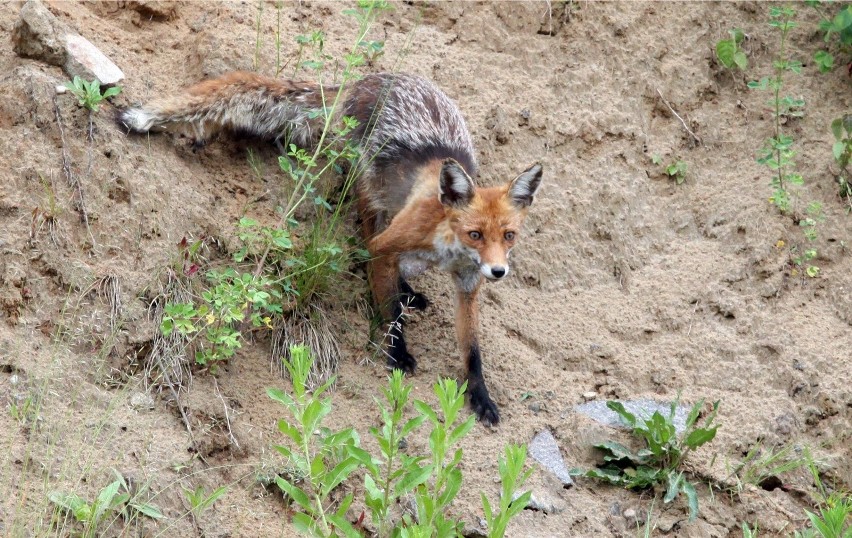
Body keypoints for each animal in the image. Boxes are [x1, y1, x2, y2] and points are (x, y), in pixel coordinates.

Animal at [116, 70, 544, 422]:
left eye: (508, 236)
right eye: (475, 234)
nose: (499, 271)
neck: (447, 249)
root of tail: (367, 79)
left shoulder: (469, 284)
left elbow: (472, 349)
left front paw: (480, 394)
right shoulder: (389, 246)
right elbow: (389, 310)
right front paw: (397, 352)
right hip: (369, 186)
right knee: (365, 236)